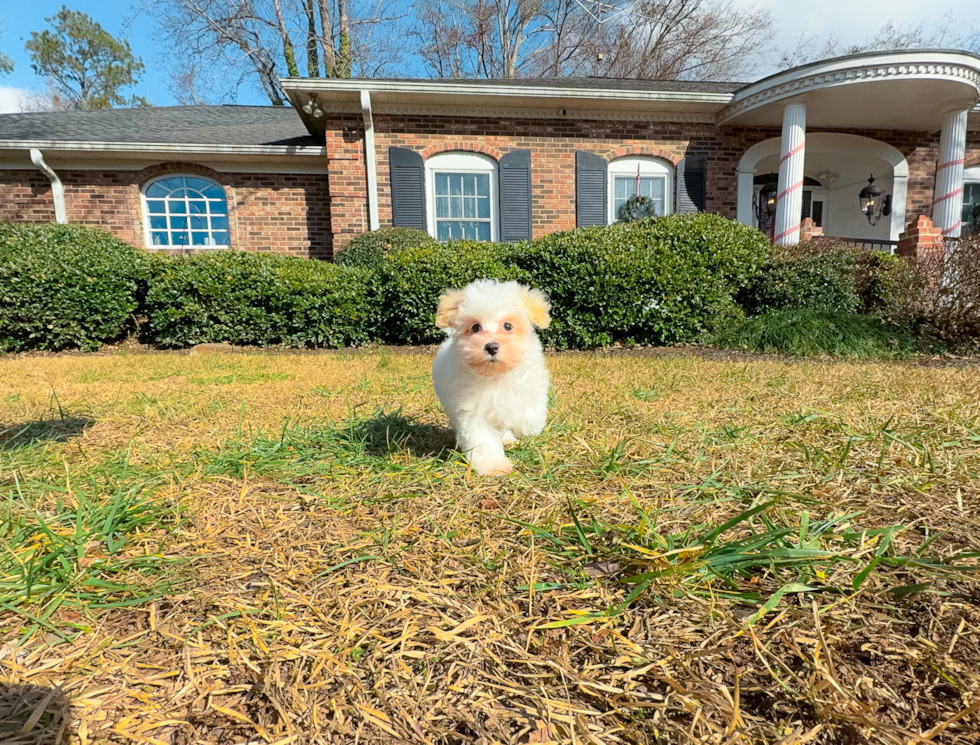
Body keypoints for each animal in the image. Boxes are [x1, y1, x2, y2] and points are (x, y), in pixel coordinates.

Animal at [430, 280, 548, 476]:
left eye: (508, 326)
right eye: (475, 327)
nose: (492, 347)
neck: (495, 375)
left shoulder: (531, 384)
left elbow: (530, 415)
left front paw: (523, 424)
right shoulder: (471, 410)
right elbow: (481, 440)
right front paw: (493, 465)